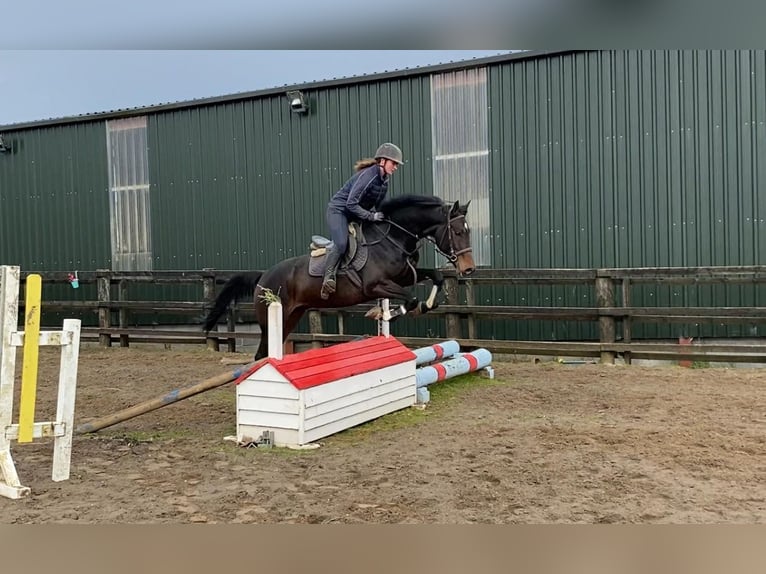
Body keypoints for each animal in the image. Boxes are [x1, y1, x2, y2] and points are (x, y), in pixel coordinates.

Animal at [204, 197, 480, 360]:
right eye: (457, 232)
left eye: (468, 231)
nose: (468, 269)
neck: (393, 238)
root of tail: (264, 276)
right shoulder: (376, 286)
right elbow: (409, 299)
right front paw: (384, 313)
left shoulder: (403, 277)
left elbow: (436, 277)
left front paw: (426, 305)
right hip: (270, 319)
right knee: (261, 355)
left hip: (290, 318)